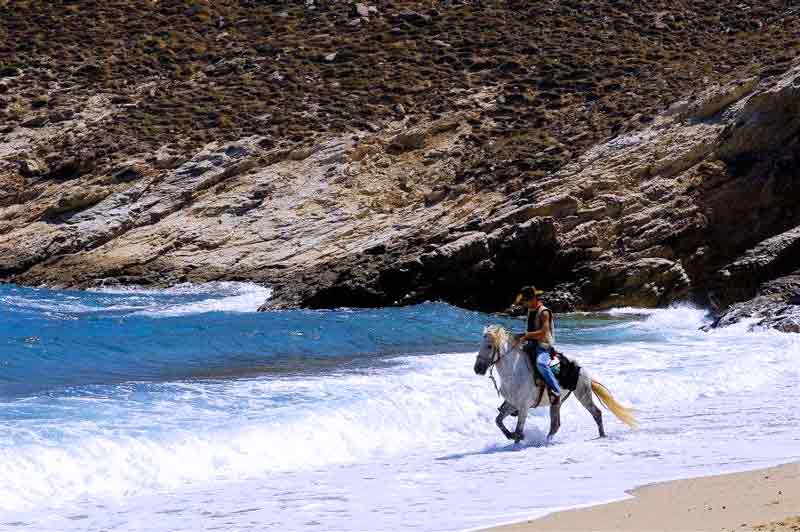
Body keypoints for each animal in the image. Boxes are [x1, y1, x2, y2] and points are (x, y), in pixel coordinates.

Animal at [476, 326, 636, 442]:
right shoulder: (512, 404)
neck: (514, 371)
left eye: (489, 346)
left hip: (583, 394)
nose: (477, 368)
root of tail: (583, 370)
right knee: (556, 424)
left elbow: (519, 428)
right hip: (557, 402)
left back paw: (601, 435)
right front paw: (510, 435)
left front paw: (516, 439)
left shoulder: (523, 407)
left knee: (596, 413)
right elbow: (498, 421)